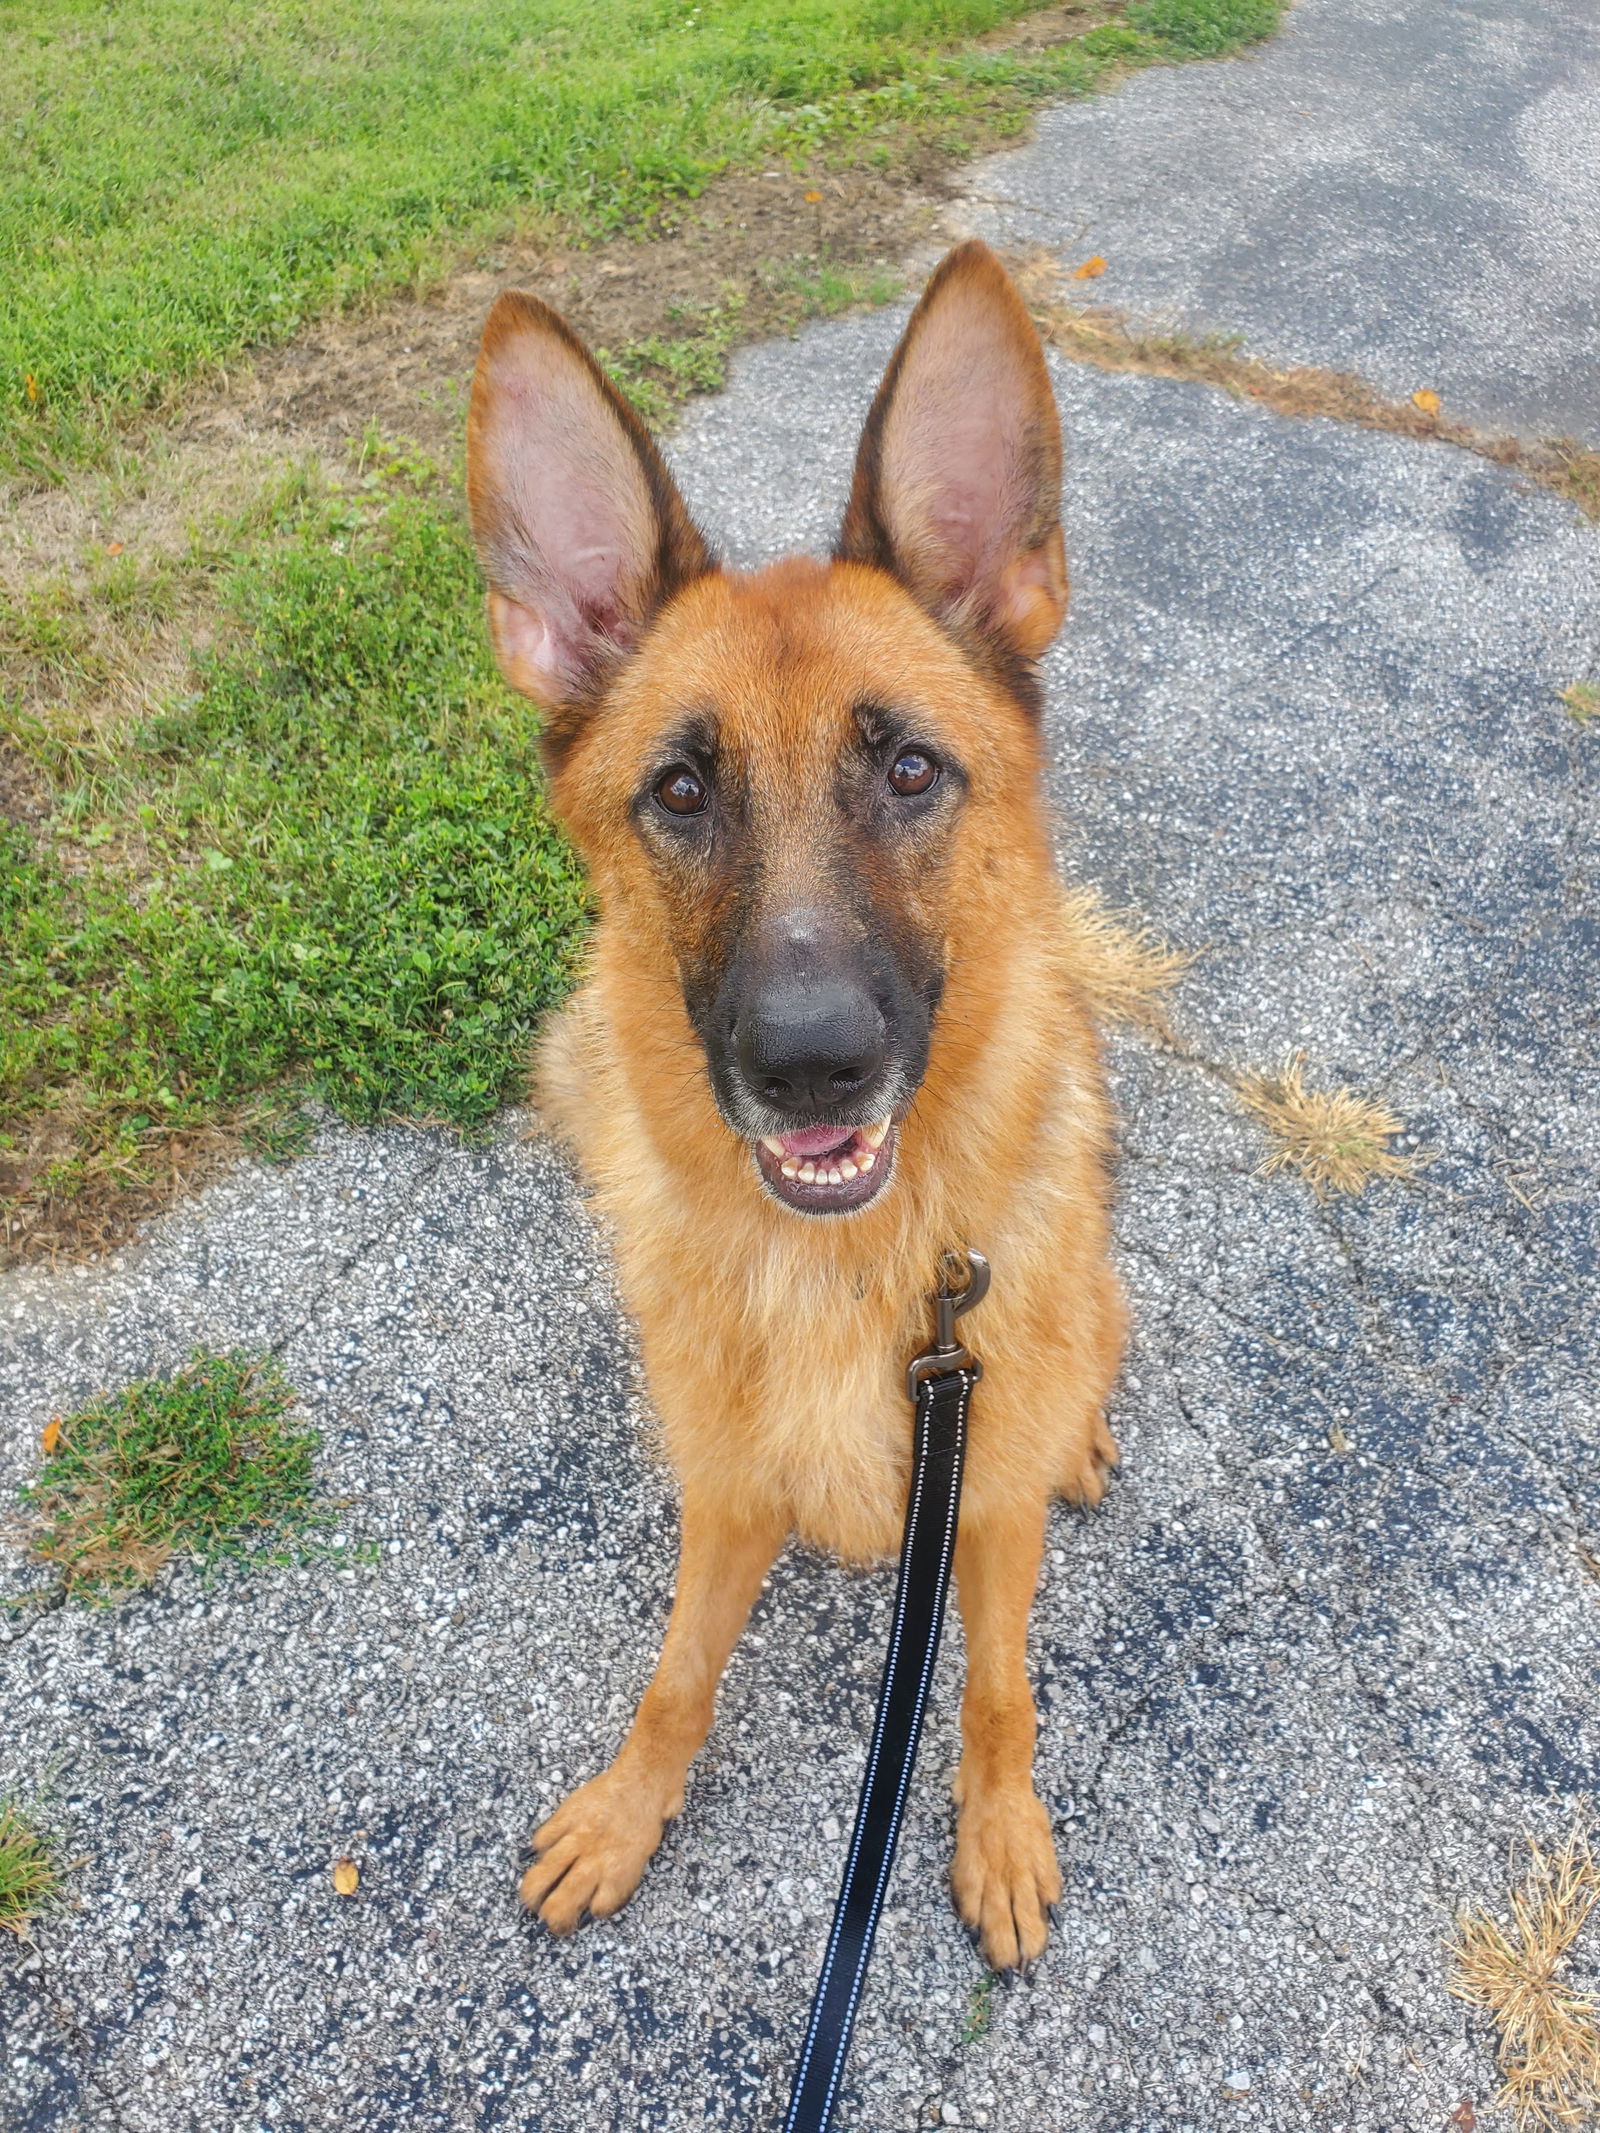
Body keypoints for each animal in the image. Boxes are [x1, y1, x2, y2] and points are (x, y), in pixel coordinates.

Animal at [469, 245, 1126, 1962]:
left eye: (907, 771)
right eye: (680, 791)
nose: (813, 1064)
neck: (852, 1275)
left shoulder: (981, 1513)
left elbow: (999, 1687)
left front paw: (999, 1827)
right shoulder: (726, 1500)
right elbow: (678, 1675)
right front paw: (627, 1813)